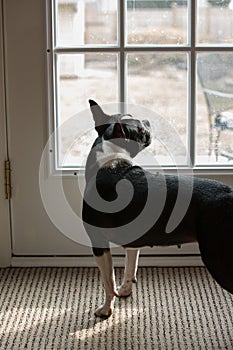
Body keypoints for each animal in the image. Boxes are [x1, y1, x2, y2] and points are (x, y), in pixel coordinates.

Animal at [82, 99, 233, 318]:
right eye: (141, 128)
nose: (147, 120)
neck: (111, 160)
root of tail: (231, 194)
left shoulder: (98, 243)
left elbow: (108, 281)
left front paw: (106, 309)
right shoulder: (132, 241)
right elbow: (130, 267)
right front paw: (125, 291)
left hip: (217, 257)